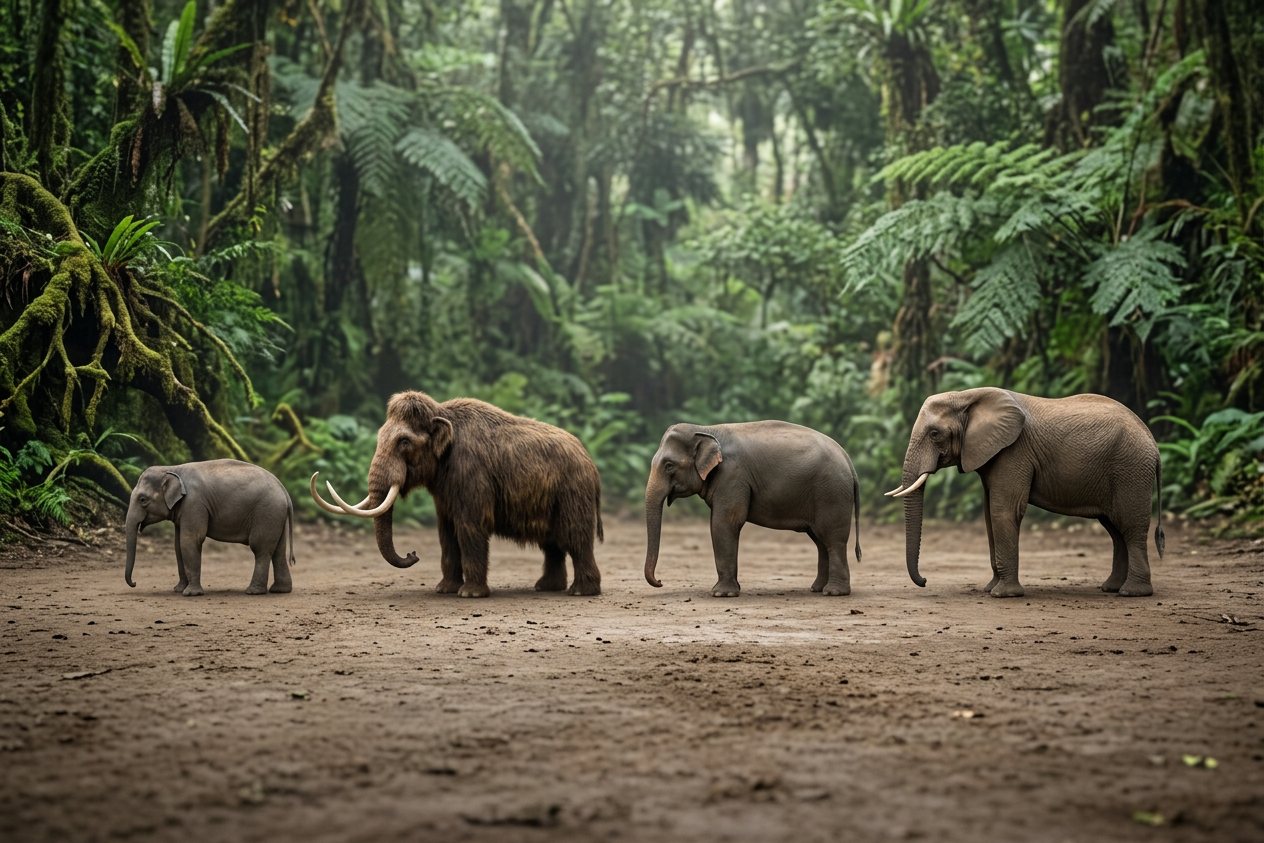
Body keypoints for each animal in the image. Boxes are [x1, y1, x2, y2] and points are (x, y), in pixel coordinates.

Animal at [124, 460, 295, 596]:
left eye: (143, 499)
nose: (135, 583)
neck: (173, 468)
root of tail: (284, 490)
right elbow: (178, 545)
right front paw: (178, 590)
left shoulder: (194, 503)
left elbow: (190, 540)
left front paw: (191, 594)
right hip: (276, 515)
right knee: (278, 551)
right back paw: (280, 590)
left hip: (267, 512)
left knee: (261, 549)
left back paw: (253, 592)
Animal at [310, 390, 603, 598]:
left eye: (404, 441)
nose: (413, 554)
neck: (442, 413)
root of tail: (592, 463)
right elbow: (446, 533)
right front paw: (444, 590)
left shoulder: (471, 476)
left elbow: (470, 527)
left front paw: (470, 594)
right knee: (552, 544)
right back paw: (545, 587)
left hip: (574, 494)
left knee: (576, 539)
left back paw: (580, 592)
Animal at [644, 421, 861, 597]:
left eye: (669, 465)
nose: (661, 581)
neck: (706, 429)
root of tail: (848, 460)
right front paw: (731, 590)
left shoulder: (732, 476)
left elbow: (724, 523)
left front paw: (721, 594)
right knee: (820, 540)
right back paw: (816, 589)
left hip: (831, 493)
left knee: (833, 539)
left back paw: (834, 592)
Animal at [887, 387, 1165, 597]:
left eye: (935, 434)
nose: (925, 581)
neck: (966, 396)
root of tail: (1154, 442)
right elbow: (989, 515)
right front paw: (990, 589)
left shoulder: (1014, 452)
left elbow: (1003, 511)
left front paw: (1002, 595)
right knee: (1115, 529)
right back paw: (1111, 588)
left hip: (1131, 469)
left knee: (1130, 526)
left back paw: (1132, 593)